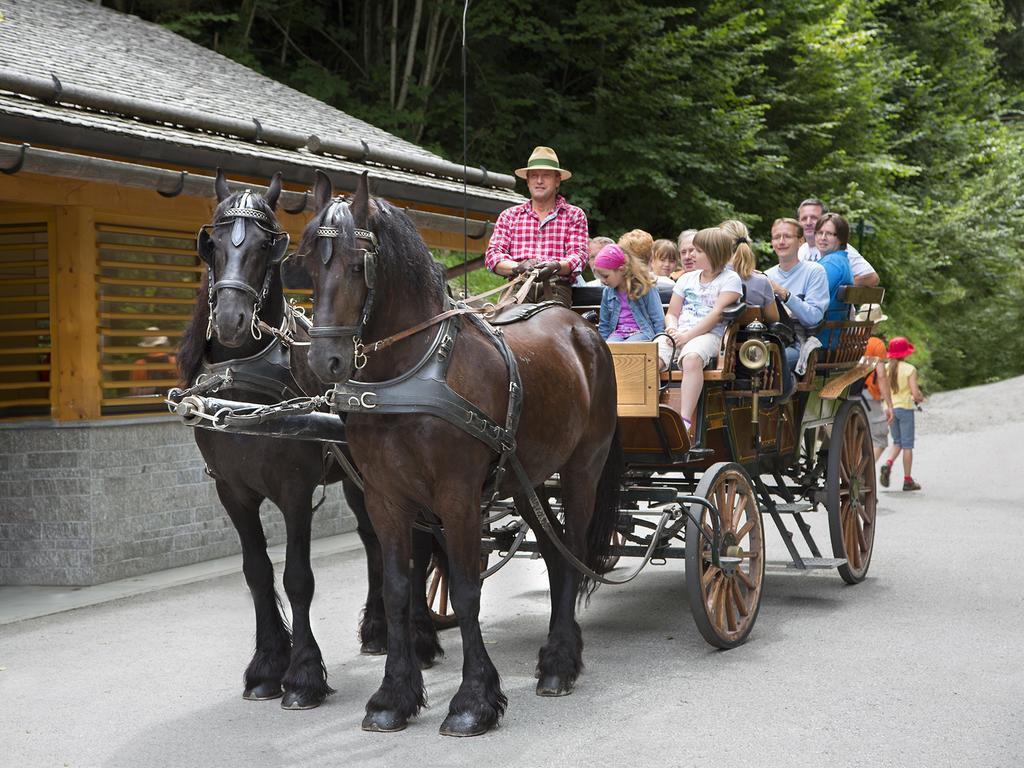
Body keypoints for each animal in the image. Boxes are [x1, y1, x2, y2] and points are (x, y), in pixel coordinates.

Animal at [178, 171, 442, 712]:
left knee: (419, 547)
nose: (232, 321)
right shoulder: (231, 492)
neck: (242, 384)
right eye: (213, 243)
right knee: (373, 541)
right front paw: (265, 668)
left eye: (267, 246)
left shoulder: (295, 489)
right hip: (360, 477)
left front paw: (301, 676)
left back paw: (421, 638)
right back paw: (379, 630)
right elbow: (257, 572)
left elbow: (297, 578)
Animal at [296, 171, 622, 737]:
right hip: (527, 479)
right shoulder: (385, 497)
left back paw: (561, 662)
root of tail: (583, 329)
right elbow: (397, 588)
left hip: (583, 469)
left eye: (359, 265)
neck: (410, 371)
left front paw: (474, 701)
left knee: (575, 549)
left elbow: (467, 590)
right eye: (311, 264)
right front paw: (393, 697)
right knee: (557, 556)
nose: (325, 361)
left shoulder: (459, 496)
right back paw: (555, 657)